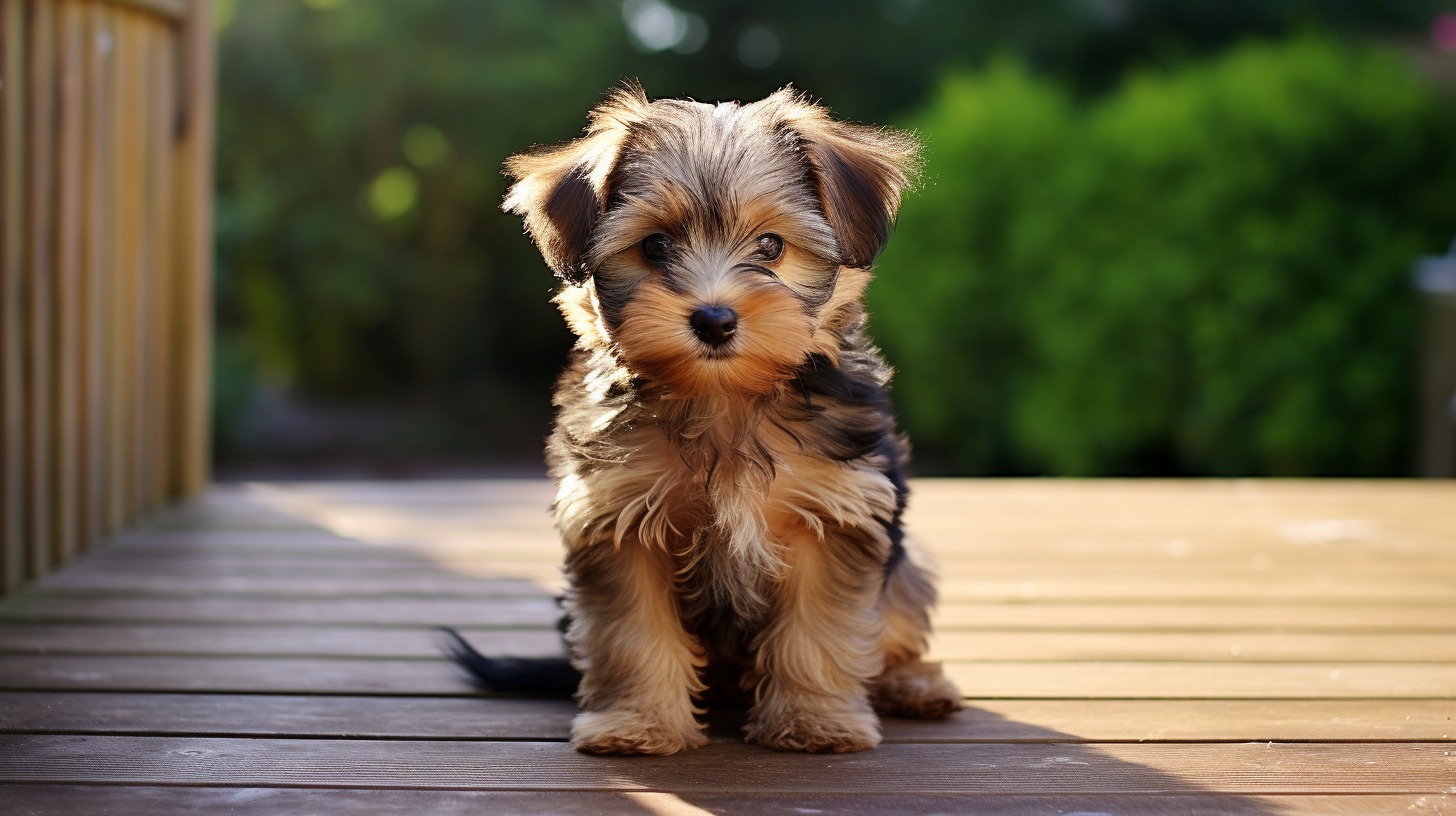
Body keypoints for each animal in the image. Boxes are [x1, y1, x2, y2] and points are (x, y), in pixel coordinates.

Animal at [448, 83, 960, 751]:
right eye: (655, 245)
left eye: (771, 246)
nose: (714, 320)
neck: (724, 398)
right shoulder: (619, 520)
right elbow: (631, 633)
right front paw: (636, 722)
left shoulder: (831, 514)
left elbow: (821, 629)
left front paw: (814, 721)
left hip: (902, 567)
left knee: (896, 612)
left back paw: (912, 683)